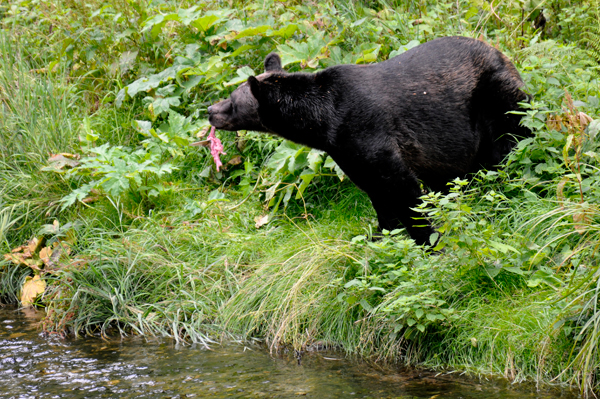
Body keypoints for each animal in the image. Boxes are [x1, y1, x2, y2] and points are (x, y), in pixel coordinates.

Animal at [209, 36, 532, 245]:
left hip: (494, 98)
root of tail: (500, 53)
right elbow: (375, 189)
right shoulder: (343, 148)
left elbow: (401, 186)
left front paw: (428, 239)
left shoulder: (366, 128)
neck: (324, 120)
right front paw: (380, 235)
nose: (211, 110)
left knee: (507, 141)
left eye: (233, 100)